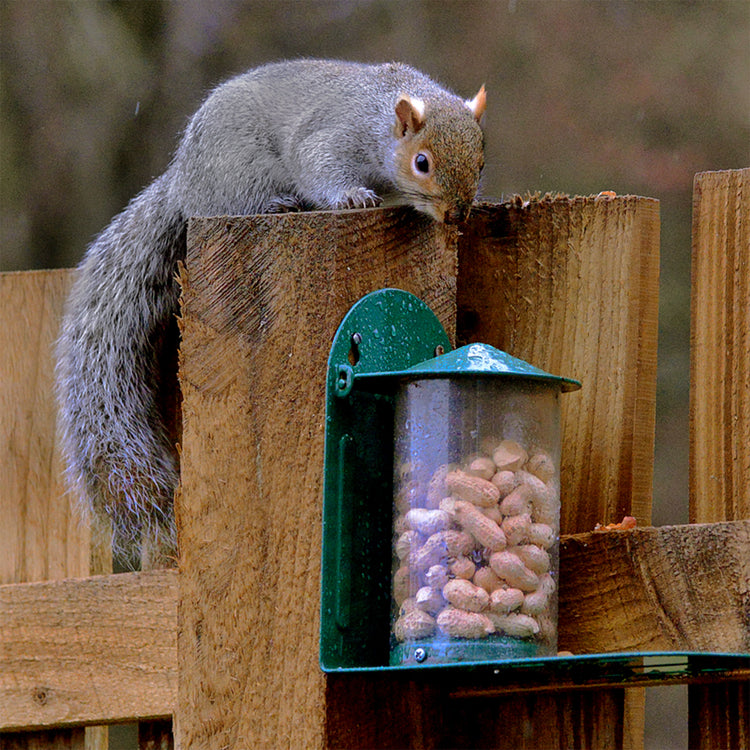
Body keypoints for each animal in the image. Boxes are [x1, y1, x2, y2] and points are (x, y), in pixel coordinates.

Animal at [54, 58, 488, 564]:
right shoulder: (334, 137)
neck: (381, 122)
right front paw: (352, 198)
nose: (457, 216)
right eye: (422, 163)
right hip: (236, 178)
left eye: (481, 160)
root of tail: (181, 182)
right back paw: (277, 203)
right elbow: (321, 166)